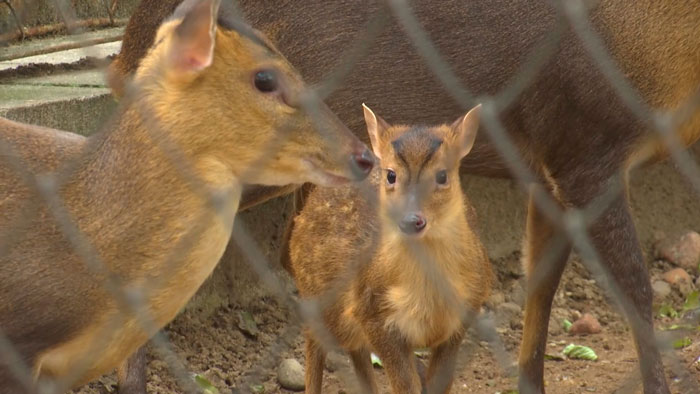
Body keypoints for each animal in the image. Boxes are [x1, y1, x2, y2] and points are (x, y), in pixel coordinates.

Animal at [288, 104, 490, 394]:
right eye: (391, 174)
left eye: (443, 175)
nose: (411, 219)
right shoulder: (373, 312)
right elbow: (406, 385)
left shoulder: (465, 312)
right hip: (317, 297)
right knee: (314, 342)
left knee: (358, 355)